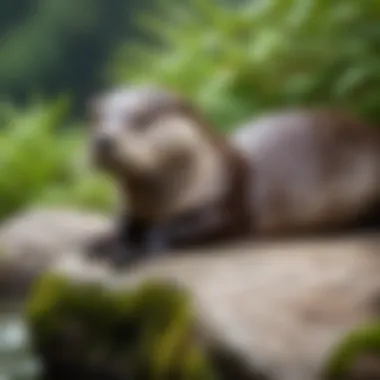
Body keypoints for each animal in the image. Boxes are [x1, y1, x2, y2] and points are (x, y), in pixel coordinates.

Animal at [86, 85, 380, 264]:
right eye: (98, 119)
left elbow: (188, 226)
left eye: (141, 120)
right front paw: (105, 241)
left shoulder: (226, 204)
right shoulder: (132, 209)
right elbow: (124, 224)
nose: (103, 140)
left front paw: (138, 248)